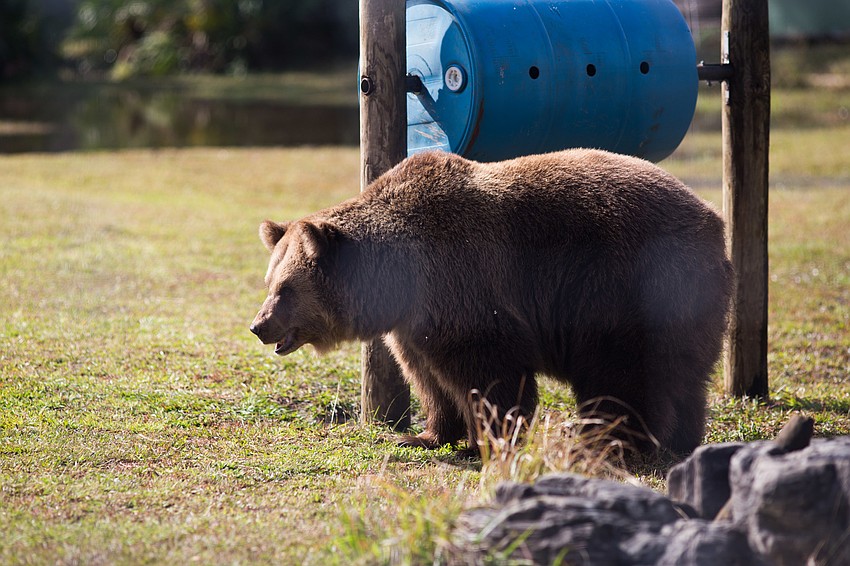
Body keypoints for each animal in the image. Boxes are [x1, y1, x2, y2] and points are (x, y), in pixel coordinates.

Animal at [250, 149, 734, 455]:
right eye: (269, 281)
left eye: (286, 289)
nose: (259, 326)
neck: (398, 278)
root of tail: (715, 221)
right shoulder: (415, 323)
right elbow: (428, 377)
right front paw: (424, 435)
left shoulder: (465, 287)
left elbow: (490, 372)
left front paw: (490, 440)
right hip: (688, 303)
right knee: (683, 378)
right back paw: (679, 440)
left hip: (627, 289)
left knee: (621, 375)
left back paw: (607, 442)